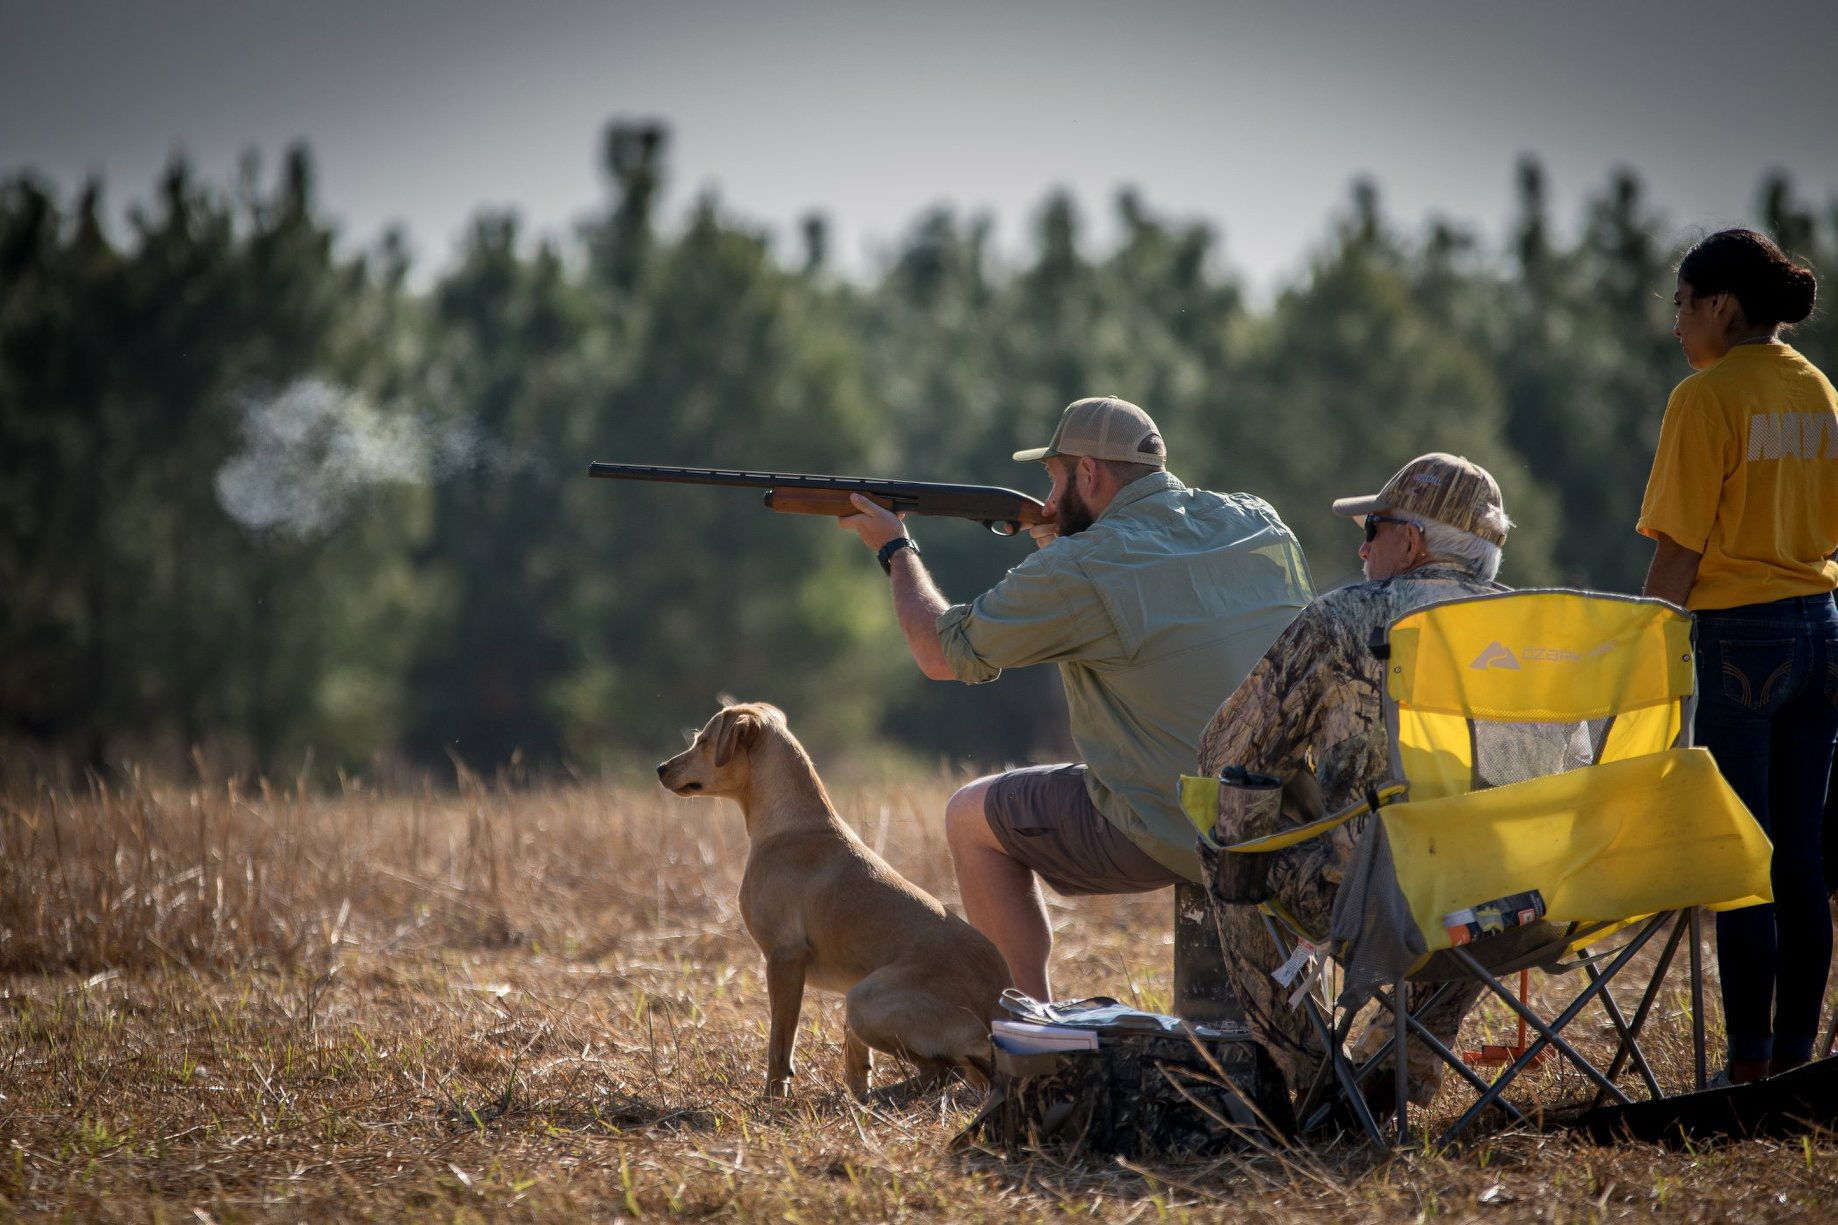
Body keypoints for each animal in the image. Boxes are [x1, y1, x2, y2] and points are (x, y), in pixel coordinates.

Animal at [657, 702, 1011, 1099]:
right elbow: (855, 1056)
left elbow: (780, 1045)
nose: (661, 769)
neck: (791, 823)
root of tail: (995, 1013)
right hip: (862, 994)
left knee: (944, 1070)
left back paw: (884, 1097)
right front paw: (854, 1088)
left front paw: (772, 1097)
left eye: (703, 740)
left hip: (865, 999)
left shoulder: (784, 958)